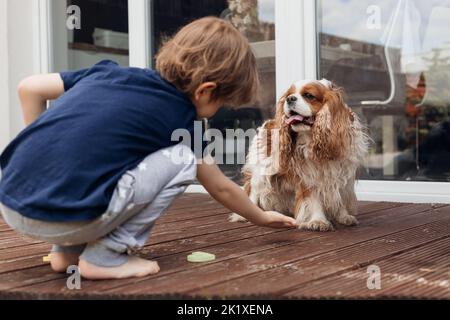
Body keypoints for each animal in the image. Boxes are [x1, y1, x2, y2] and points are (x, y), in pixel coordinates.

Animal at [230, 79, 368, 231]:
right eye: (288, 95)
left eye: (308, 95)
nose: (290, 99)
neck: (314, 140)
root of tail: (268, 122)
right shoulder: (309, 176)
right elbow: (313, 199)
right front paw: (318, 220)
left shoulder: (343, 175)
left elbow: (340, 197)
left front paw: (343, 216)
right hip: (262, 171)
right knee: (253, 191)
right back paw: (243, 215)